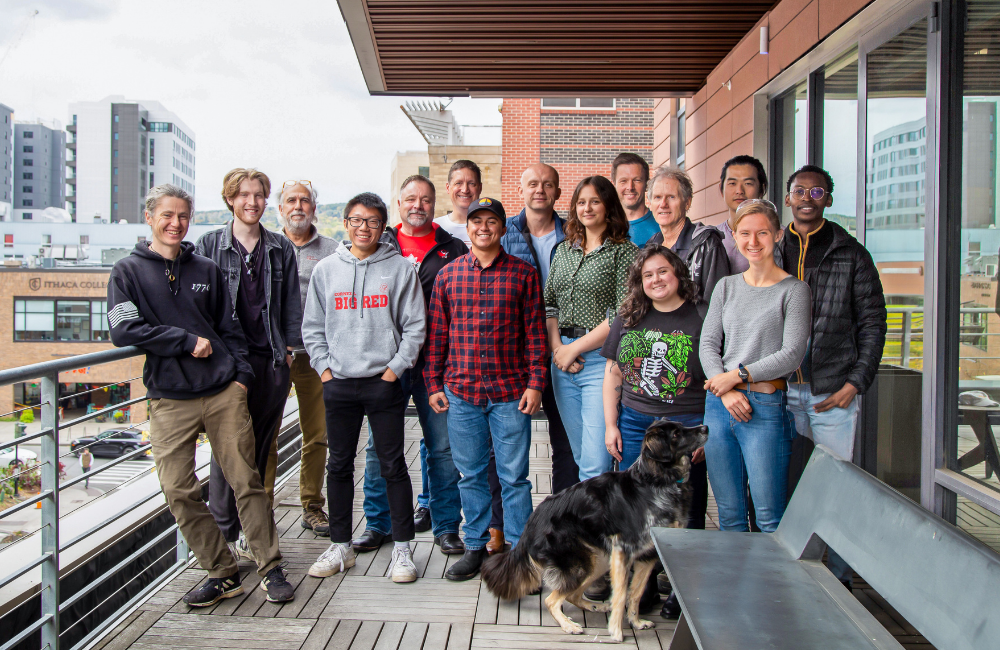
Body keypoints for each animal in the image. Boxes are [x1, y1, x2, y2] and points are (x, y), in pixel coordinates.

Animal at [480, 418, 708, 640]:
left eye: (682, 426)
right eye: (676, 434)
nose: (705, 427)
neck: (656, 480)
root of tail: (532, 521)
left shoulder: (648, 554)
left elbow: (635, 593)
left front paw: (636, 622)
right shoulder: (623, 551)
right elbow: (621, 594)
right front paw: (616, 632)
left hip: (598, 560)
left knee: (572, 595)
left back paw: (595, 607)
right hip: (580, 565)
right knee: (552, 600)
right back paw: (569, 625)